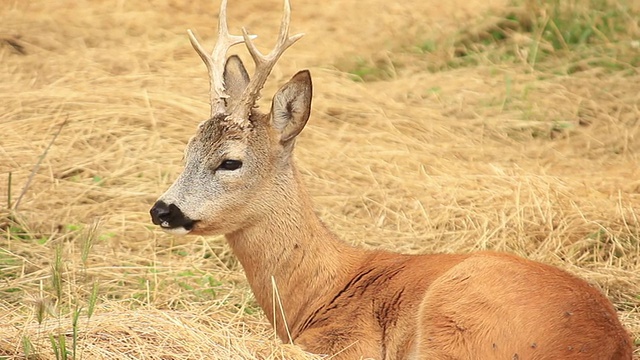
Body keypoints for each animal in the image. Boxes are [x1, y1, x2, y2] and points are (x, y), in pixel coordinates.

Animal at [151, 1, 636, 358]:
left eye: (229, 162)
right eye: (187, 151)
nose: (161, 209)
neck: (317, 291)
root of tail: (609, 342)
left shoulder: (348, 344)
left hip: (455, 315)